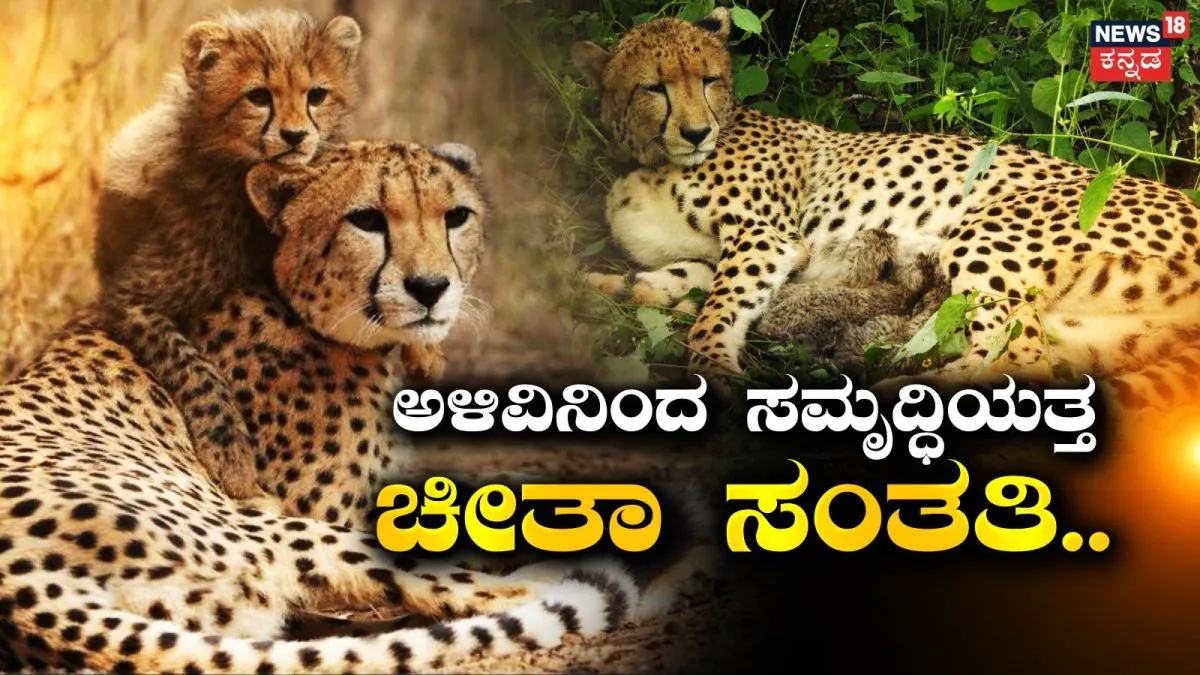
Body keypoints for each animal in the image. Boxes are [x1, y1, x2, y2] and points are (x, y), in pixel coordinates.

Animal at [0, 140, 714, 673]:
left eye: (455, 216)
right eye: (366, 220)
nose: (431, 288)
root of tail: (23, 597)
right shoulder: (327, 502)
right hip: (269, 524)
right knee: (472, 586)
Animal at [92, 7, 446, 505]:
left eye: (316, 95)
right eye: (258, 97)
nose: (295, 136)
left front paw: (426, 350)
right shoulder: (132, 297)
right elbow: (194, 367)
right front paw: (231, 458)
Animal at [571, 7, 1200, 410]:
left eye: (708, 79)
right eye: (653, 87)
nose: (698, 132)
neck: (650, 157)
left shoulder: (767, 238)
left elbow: (717, 309)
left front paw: (711, 366)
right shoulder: (733, 254)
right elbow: (676, 281)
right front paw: (604, 285)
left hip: (986, 233)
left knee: (1014, 352)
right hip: (1091, 334)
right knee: (1027, 359)